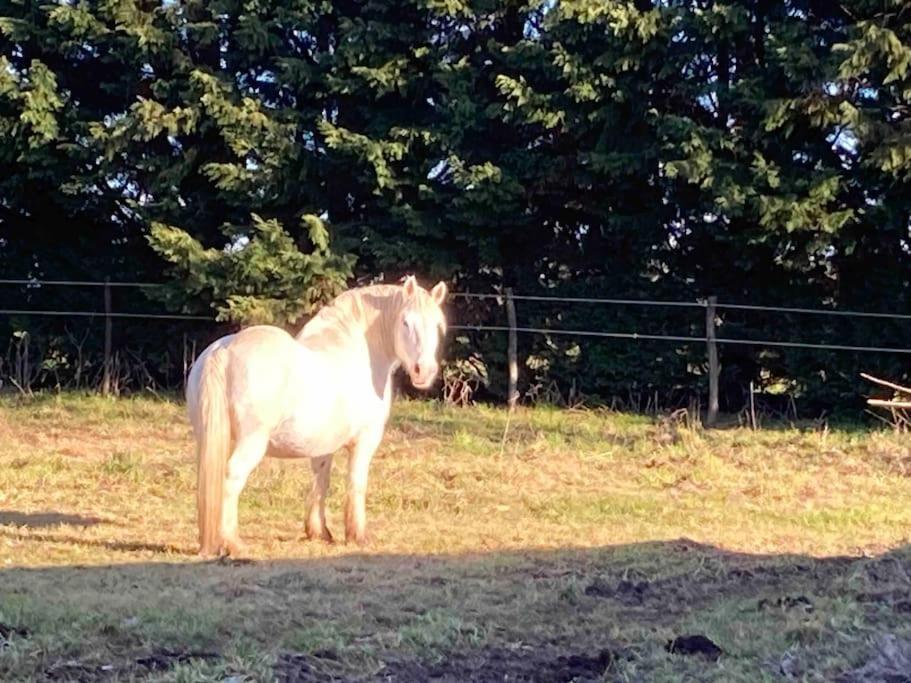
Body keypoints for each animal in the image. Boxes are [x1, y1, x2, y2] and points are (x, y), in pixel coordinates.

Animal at [187, 276, 450, 560]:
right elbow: (356, 483)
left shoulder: (323, 446)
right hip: (251, 442)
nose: (424, 371)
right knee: (231, 478)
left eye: (437, 325)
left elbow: (320, 482)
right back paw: (233, 543)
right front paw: (358, 536)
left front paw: (319, 531)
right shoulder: (365, 440)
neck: (358, 352)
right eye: (405, 322)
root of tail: (224, 350)